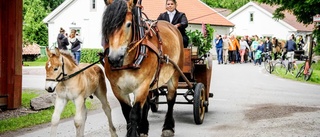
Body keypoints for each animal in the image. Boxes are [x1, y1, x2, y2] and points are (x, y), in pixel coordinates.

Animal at [101, 0, 184, 136]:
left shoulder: (142, 86)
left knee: (171, 99)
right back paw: (144, 128)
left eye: (128, 24)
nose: (114, 59)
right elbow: (127, 112)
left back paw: (168, 127)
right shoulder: (117, 89)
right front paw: (138, 129)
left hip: (175, 74)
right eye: (106, 26)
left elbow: (134, 114)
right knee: (147, 104)